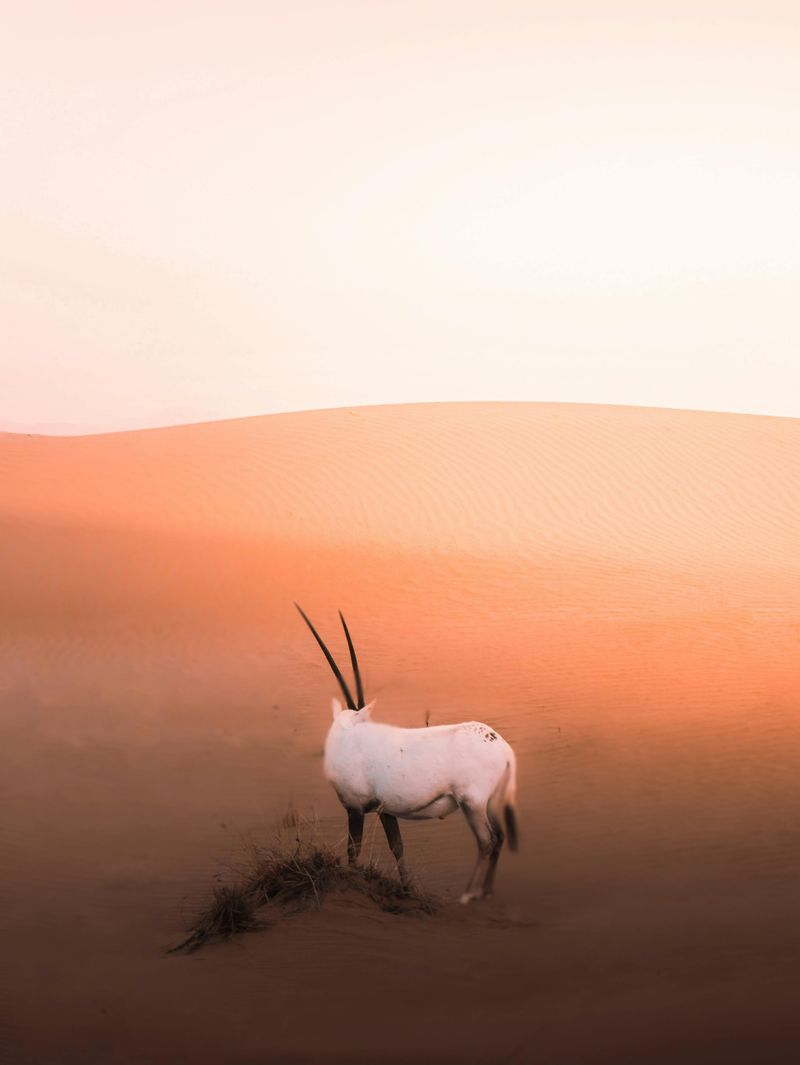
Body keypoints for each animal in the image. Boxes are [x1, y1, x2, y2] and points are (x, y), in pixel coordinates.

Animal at [296, 604, 519, 903]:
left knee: (487, 841)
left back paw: (469, 894)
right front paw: (405, 890)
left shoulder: (355, 809)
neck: (350, 739)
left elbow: (354, 850)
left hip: (472, 803)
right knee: (500, 838)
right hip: (491, 802)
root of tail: (503, 747)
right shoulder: (385, 810)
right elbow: (397, 847)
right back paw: (485, 892)